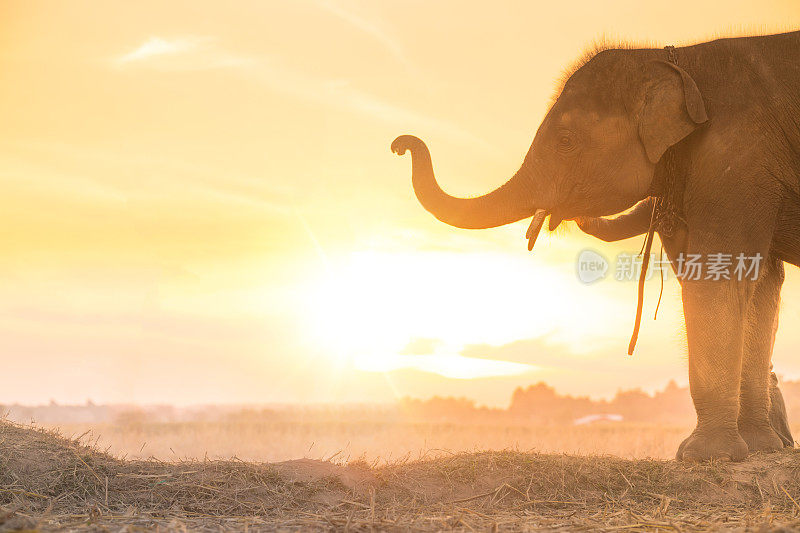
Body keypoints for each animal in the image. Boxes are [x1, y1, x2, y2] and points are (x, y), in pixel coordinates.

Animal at [392, 30, 800, 462]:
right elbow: (761, 284)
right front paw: (760, 450)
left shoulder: (738, 158)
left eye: (565, 140)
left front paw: (704, 456)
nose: (400, 145)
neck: (676, 59)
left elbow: (719, 275)